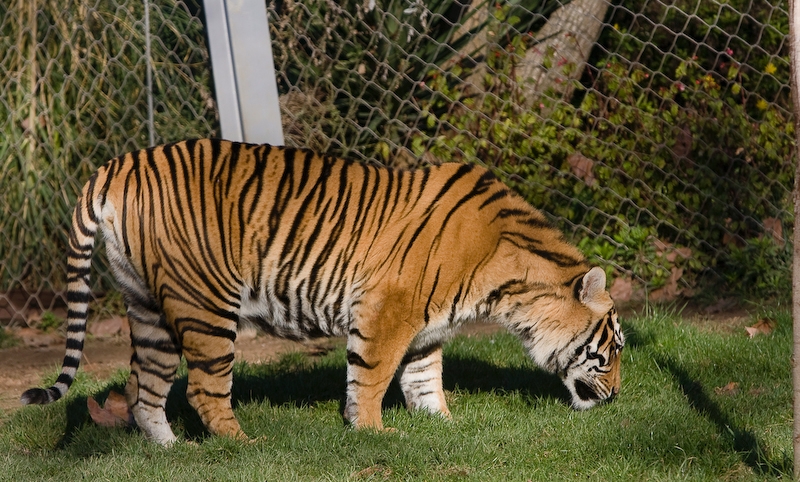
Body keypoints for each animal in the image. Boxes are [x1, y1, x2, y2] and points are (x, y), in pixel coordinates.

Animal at [21, 139, 623, 446]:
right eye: (612, 350)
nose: (618, 396)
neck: (507, 283)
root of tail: (117, 164)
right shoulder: (386, 310)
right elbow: (372, 378)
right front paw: (375, 435)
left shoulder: (427, 328)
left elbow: (425, 380)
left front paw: (444, 427)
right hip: (205, 304)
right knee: (203, 389)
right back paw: (243, 448)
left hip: (147, 305)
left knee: (142, 389)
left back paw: (172, 454)